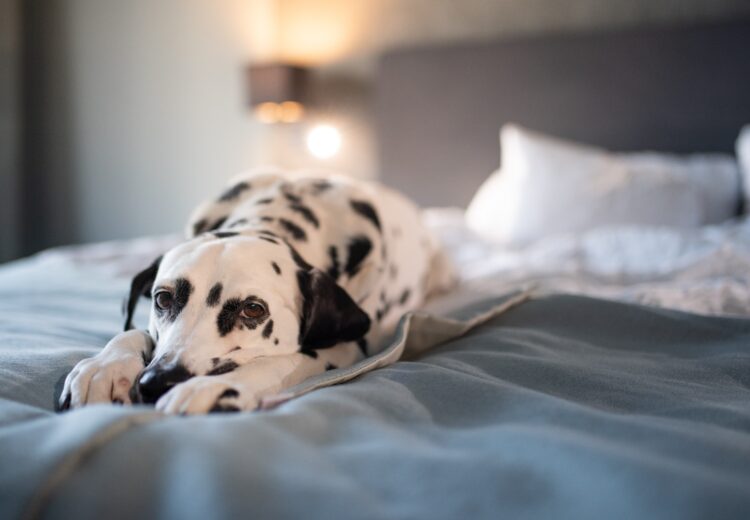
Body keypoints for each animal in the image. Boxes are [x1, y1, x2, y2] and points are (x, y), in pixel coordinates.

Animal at [58, 171, 456, 414]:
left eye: (252, 309)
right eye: (163, 299)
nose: (158, 382)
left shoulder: (352, 345)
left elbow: (288, 359)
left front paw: (215, 387)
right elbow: (132, 332)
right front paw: (105, 368)